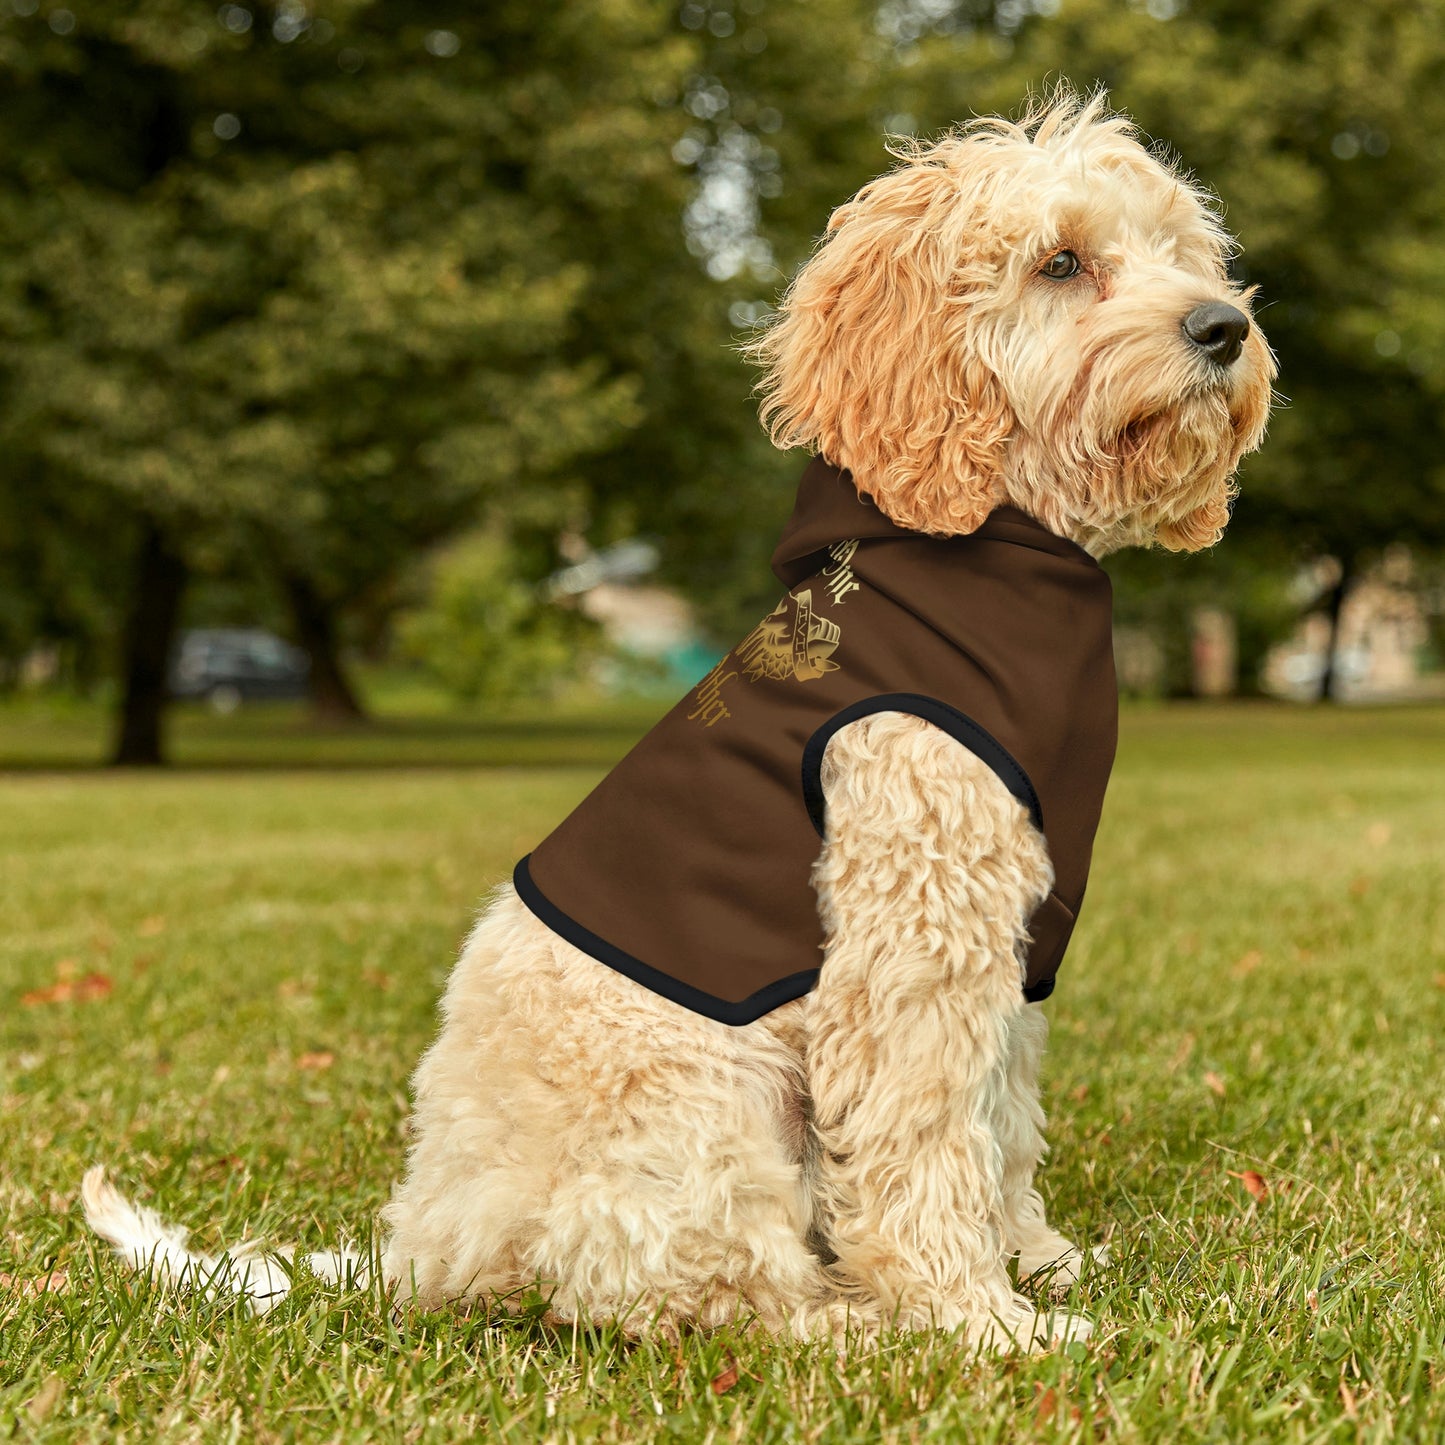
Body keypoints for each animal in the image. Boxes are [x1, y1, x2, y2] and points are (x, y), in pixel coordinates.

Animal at [82, 93, 1277, 1352]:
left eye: (1180, 252)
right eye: (1059, 262)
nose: (1223, 327)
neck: (990, 549)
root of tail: (424, 1249)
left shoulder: (1008, 942)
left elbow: (999, 1121)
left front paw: (1036, 1260)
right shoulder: (912, 936)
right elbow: (923, 1139)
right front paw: (975, 1318)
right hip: (706, 1103)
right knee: (707, 1293)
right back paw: (854, 1321)